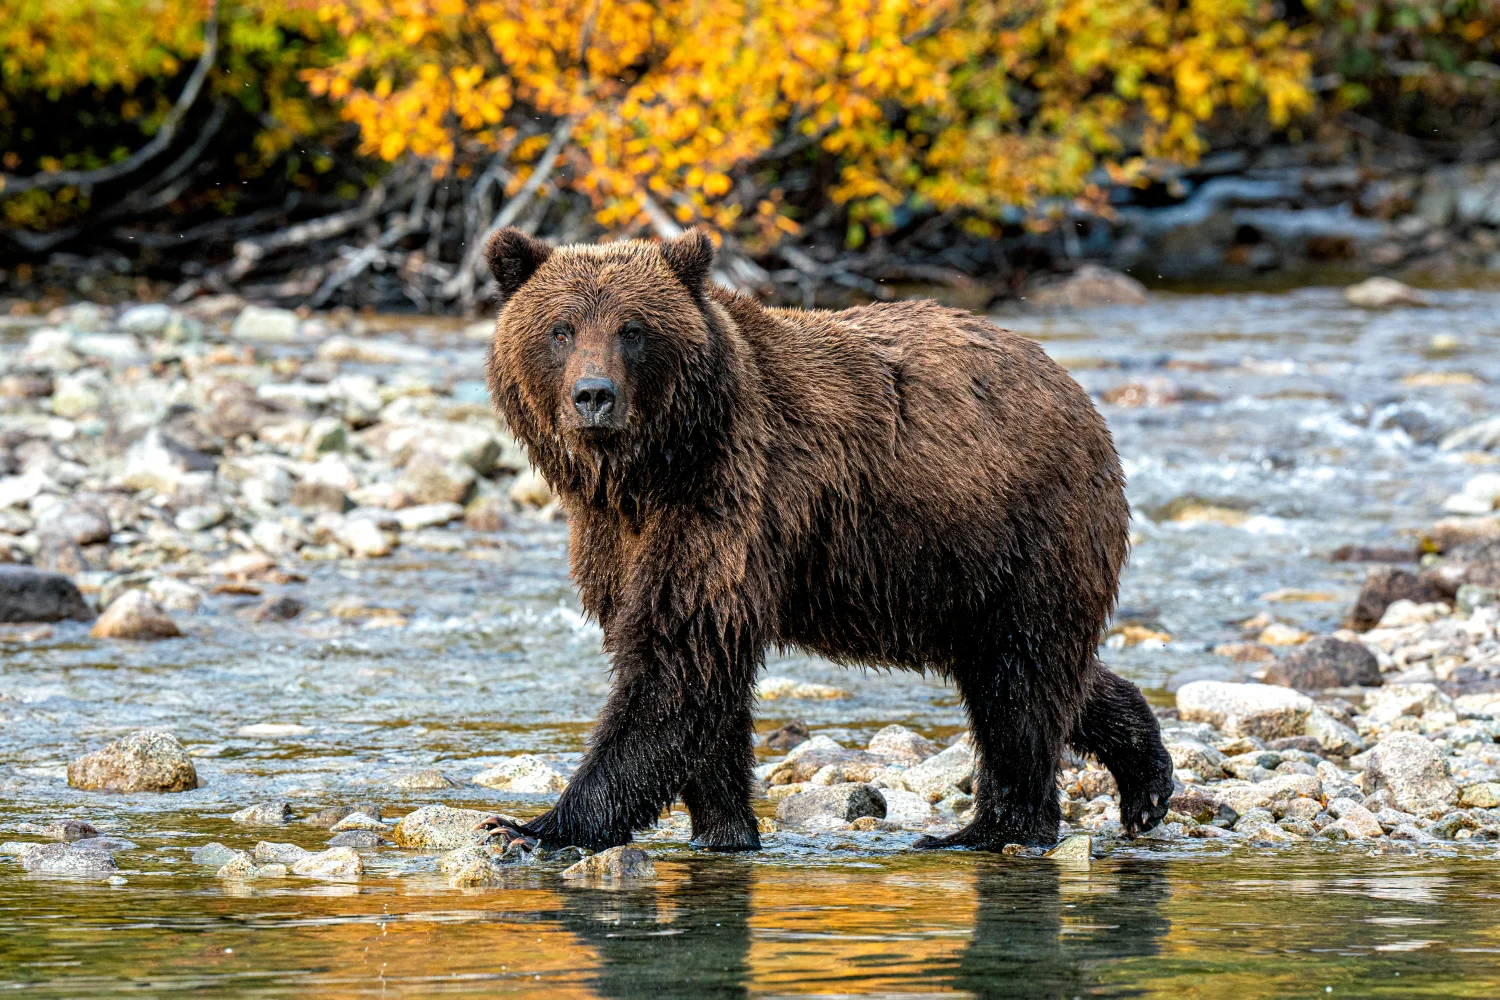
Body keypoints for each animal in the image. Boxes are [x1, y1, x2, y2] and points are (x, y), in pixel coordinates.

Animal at [479, 227, 1173, 853]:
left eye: (633, 328)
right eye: (561, 329)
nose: (594, 396)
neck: (647, 474)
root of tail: (1075, 389)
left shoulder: (725, 504)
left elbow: (676, 668)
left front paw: (532, 827)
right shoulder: (618, 541)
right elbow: (698, 680)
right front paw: (724, 829)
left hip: (1021, 528)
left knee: (1020, 681)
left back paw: (989, 830)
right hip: (967, 576)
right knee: (1040, 669)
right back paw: (1145, 780)